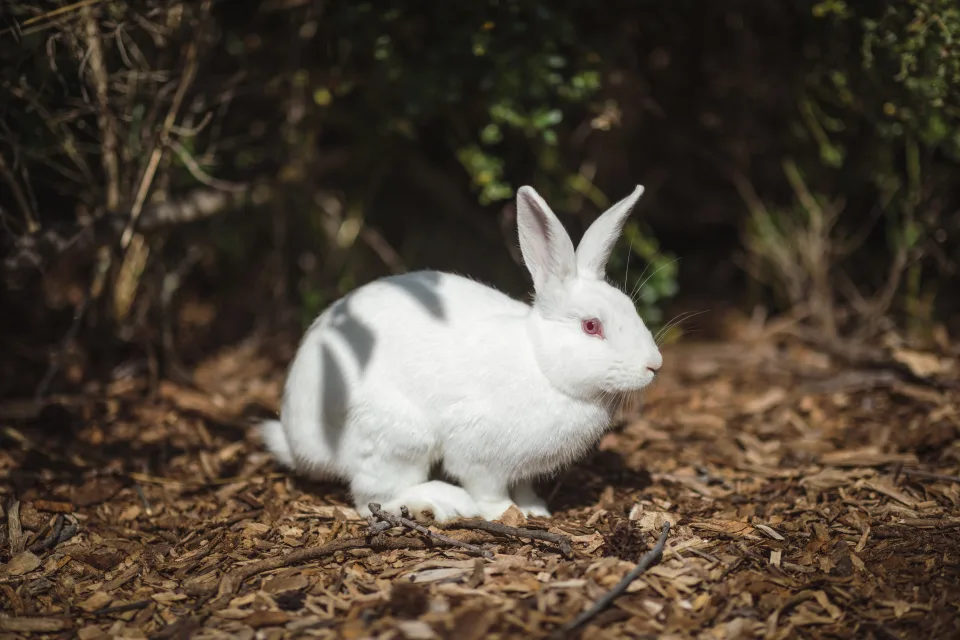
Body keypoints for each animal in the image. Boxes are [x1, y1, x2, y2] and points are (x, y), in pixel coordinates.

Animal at [260, 184, 663, 522]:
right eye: (591, 326)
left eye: (630, 307)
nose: (654, 366)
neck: (542, 365)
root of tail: (298, 442)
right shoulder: (479, 455)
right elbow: (489, 490)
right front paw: (505, 513)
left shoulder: (523, 470)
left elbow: (524, 487)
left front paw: (536, 510)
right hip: (396, 439)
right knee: (373, 498)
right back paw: (444, 502)